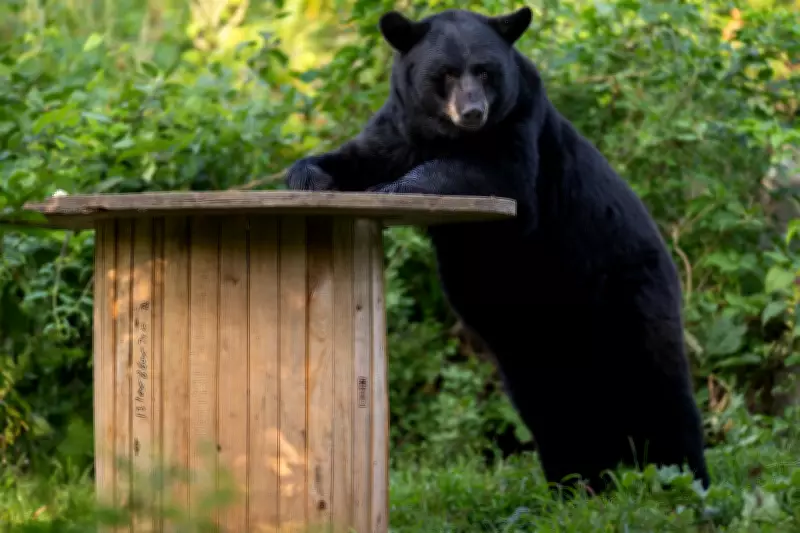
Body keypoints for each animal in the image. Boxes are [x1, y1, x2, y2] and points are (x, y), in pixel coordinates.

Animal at [284, 6, 711, 495]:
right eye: (446, 73)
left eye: (485, 71)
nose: (473, 111)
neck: (445, 134)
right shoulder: (397, 125)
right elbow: (359, 154)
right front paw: (308, 175)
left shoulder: (521, 125)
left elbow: (494, 174)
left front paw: (388, 187)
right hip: (533, 340)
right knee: (556, 410)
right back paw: (578, 485)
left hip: (627, 292)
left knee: (659, 387)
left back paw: (684, 478)